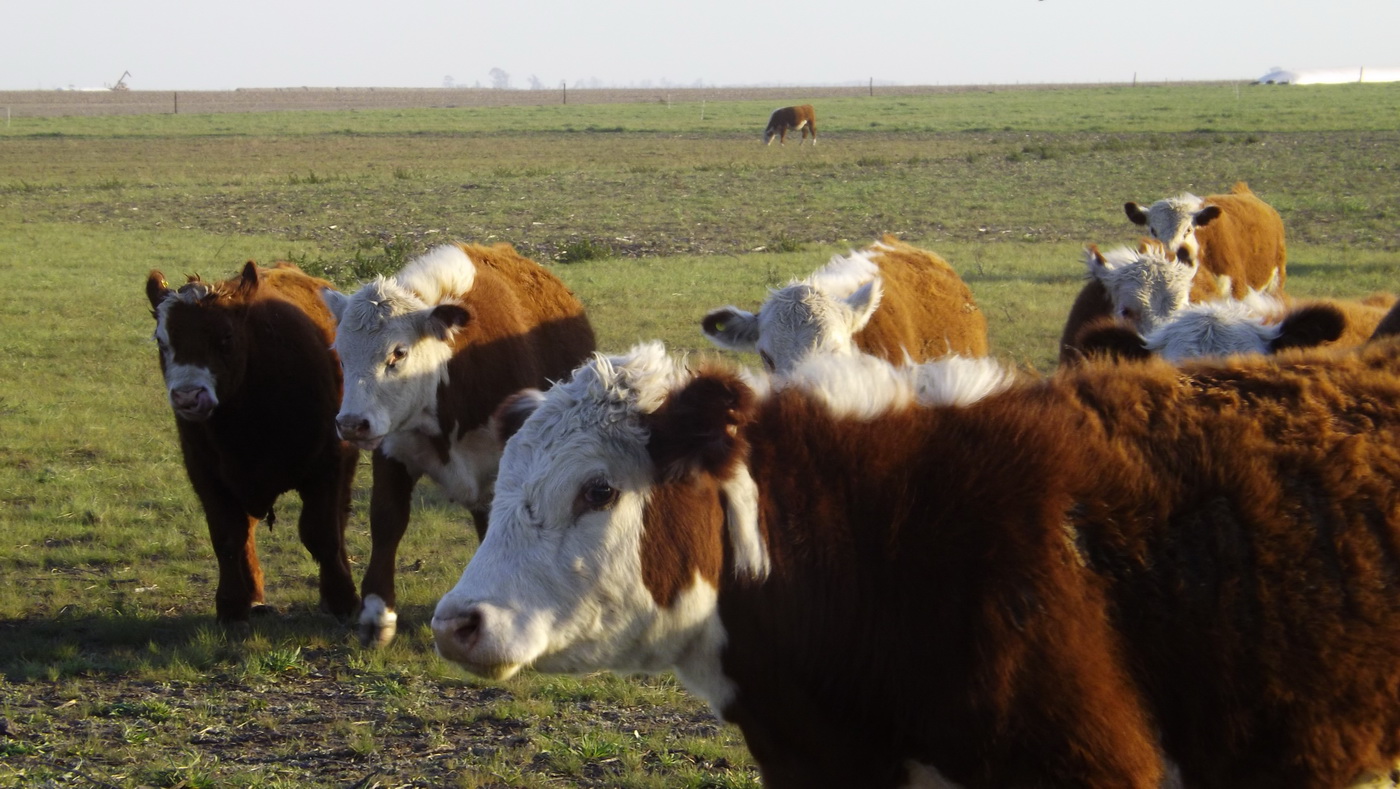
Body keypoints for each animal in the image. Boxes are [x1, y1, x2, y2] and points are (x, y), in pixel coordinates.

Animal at [145, 262, 358, 626]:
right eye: (162, 341)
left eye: (226, 337)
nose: (188, 396)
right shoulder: (206, 474)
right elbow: (229, 537)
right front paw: (232, 604)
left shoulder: (327, 465)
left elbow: (322, 533)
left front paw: (342, 598)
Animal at [321, 242, 595, 647]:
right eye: (340, 353)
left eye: (398, 353)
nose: (352, 423)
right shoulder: (392, 451)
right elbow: (387, 520)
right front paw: (376, 614)